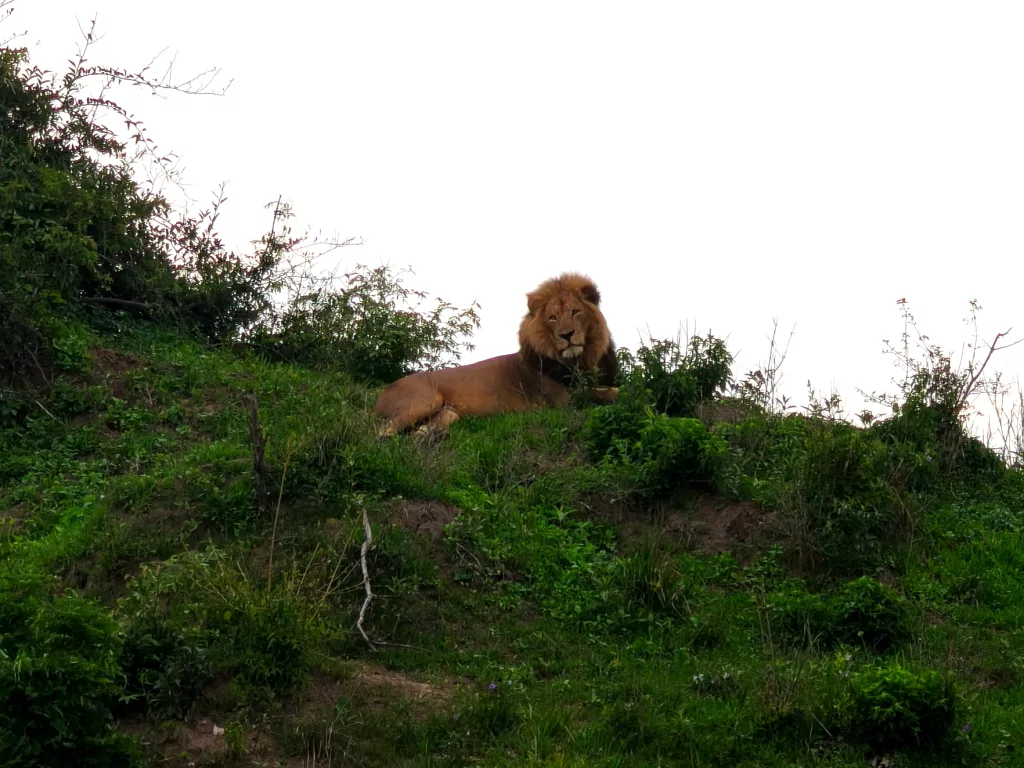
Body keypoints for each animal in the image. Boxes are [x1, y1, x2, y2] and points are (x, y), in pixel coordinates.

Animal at [373, 272, 619, 437]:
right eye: (552, 318)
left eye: (575, 312)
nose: (567, 335)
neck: (579, 360)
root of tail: (382, 393)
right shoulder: (564, 402)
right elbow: (605, 393)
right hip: (426, 400)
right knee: (383, 434)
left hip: (449, 414)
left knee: (416, 434)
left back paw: (434, 438)